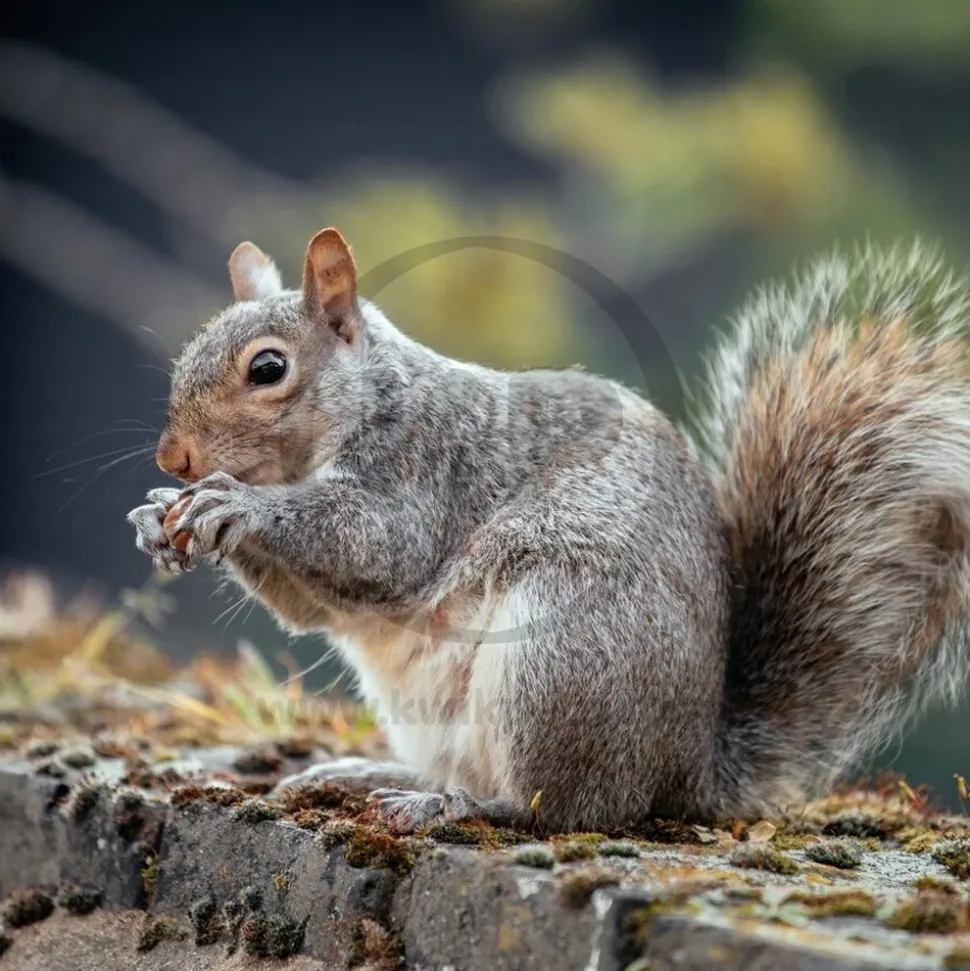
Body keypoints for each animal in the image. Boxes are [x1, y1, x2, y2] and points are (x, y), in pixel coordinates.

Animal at [128, 228, 970, 834]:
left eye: (268, 369)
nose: (174, 458)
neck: (364, 406)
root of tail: (686, 768)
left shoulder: (428, 470)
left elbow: (378, 544)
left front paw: (235, 504)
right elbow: (307, 607)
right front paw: (155, 517)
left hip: (555, 663)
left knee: (561, 808)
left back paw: (452, 808)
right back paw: (372, 775)